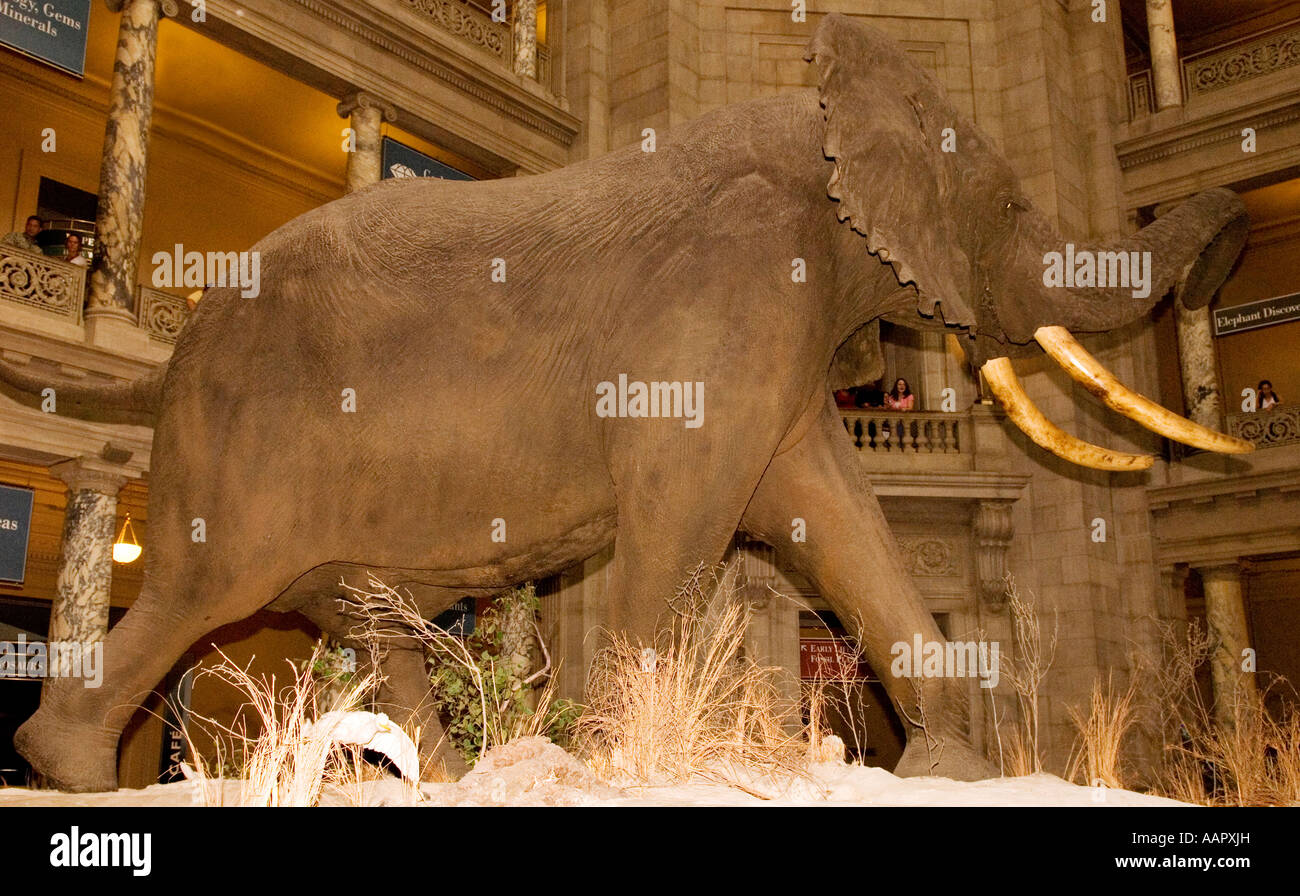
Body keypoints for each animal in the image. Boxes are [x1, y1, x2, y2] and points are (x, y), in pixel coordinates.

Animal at [7, 10, 1248, 785]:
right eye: (1007, 208)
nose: (1229, 242)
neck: (819, 120)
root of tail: (174, 348)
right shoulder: (728, 301)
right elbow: (681, 528)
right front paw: (611, 763)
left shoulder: (779, 348)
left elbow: (840, 516)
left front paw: (953, 768)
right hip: (240, 444)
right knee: (196, 590)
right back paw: (68, 768)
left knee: (369, 623)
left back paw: (449, 778)